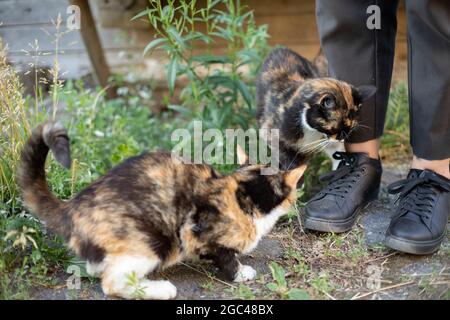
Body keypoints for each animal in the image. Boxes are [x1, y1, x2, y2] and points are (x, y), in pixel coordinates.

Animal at [17, 122, 306, 300]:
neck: (241, 192)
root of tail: (72, 207)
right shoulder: (198, 231)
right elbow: (225, 256)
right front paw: (241, 272)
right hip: (152, 242)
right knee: (112, 283)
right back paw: (159, 289)